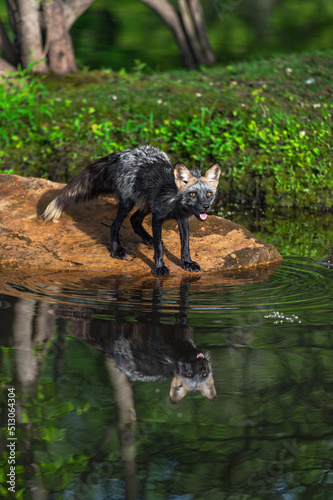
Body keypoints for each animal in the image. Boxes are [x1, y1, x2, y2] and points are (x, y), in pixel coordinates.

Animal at [44, 146, 220, 274]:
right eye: (193, 194)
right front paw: (159, 267)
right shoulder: (157, 218)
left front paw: (187, 263)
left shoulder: (183, 220)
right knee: (115, 226)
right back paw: (117, 250)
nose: (206, 206)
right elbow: (159, 246)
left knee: (134, 219)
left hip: (146, 204)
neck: (175, 203)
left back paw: (147, 239)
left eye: (208, 194)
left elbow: (185, 244)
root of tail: (123, 153)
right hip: (127, 203)